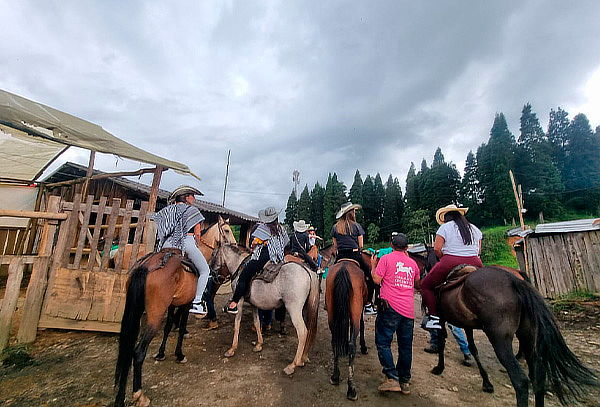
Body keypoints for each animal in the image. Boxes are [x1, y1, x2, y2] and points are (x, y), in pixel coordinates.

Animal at [113, 218, 236, 407]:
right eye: (228, 230)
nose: (236, 245)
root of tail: (146, 266)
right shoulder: (185, 304)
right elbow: (180, 325)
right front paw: (179, 353)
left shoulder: (172, 304)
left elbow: (169, 326)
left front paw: (161, 353)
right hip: (154, 316)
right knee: (138, 351)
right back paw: (139, 394)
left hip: (136, 312)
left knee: (126, 351)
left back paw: (120, 398)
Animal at [209, 244, 322, 378]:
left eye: (213, 254)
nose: (211, 272)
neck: (239, 265)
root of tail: (307, 271)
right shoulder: (254, 304)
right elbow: (257, 323)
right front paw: (259, 344)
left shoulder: (240, 301)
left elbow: (236, 325)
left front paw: (232, 349)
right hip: (305, 308)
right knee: (309, 330)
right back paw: (303, 359)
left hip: (294, 309)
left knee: (303, 332)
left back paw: (293, 365)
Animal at [324, 258, 370, 402]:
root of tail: (344, 267)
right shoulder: (359, 311)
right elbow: (362, 325)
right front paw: (364, 347)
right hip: (355, 310)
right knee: (351, 345)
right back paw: (351, 389)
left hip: (332, 312)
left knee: (334, 341)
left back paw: (335, 376)